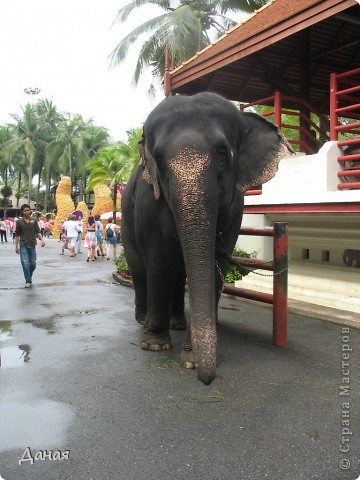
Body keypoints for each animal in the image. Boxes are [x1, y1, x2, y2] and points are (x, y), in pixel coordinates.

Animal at [121, 92, 292, 386]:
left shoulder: (236, 208)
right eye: (159, 161)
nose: (207, 380)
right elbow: (159, 260)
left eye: (222, 155)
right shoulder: (148, 203)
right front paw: (154, 345)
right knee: (141, 269)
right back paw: (143, 321)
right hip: (125, 222)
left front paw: (190, 360)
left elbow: (215, 266)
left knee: (179, 274)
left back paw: (177, 323)